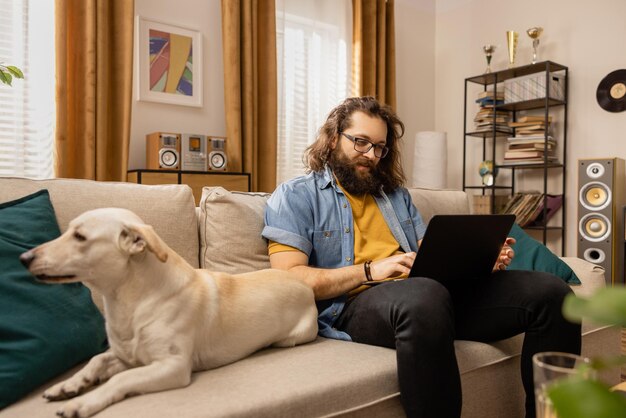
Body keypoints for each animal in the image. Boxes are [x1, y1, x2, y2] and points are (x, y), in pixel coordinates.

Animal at [20, 209, 316, 418]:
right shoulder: (128, 356)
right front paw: (69, 385)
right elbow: (97, 360)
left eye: (80, 237)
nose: (24, 258)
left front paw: (83, 402)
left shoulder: (172, 366)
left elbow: (121, 378)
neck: (129, 302)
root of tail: (304, 285)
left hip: (292, 337)